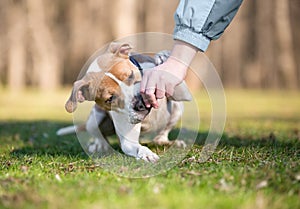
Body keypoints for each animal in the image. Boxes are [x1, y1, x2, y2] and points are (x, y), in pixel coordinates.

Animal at [57, 42, 191, 162]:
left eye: (130, 75)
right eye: (110, 99)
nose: (141, 104)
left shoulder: (182, 91)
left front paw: (163, 57)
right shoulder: (127, 141)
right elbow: (137, 147)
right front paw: (147, 154)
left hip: (177, 110)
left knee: (161, 136)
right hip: (94, 119)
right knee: (98, 134)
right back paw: (100, 145)